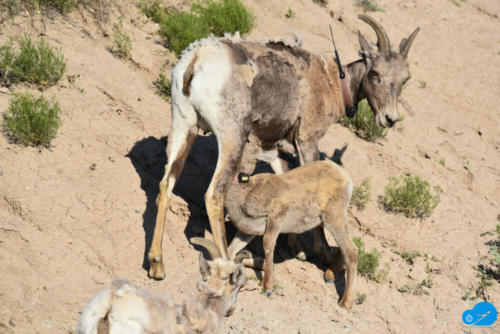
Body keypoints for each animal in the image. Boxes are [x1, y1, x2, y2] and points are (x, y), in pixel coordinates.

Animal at [147, 13, 418, 280]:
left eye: (405, 79)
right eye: (375, 73)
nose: (390, 119)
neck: (331, 81)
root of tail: (197, 59)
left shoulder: (272, 146)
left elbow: (288, 179)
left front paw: (297, 247)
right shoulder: (307, 139)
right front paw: (323, 251)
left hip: (184, 126)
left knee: (166, 184)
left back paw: (157, 265)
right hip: (232, 137)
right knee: (214, 194)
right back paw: (227, 265)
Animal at [225, 160, 358, 310]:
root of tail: (343, 174)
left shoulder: (275, 221)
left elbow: (268, 246)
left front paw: (268, 287)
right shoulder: (246, 233)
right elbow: (231, 252)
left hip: (335, 219)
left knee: (351, 251)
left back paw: (344, 302)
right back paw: (329, 275)